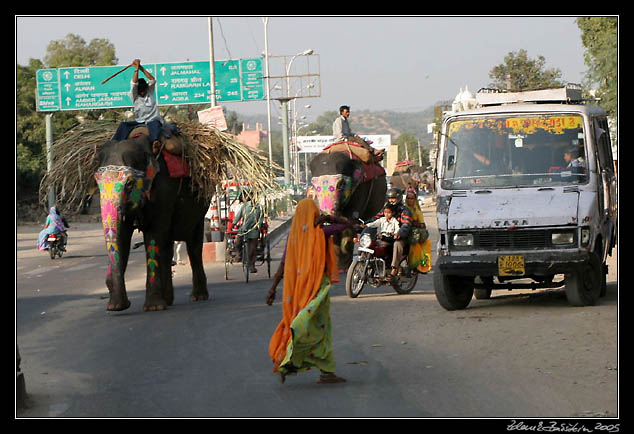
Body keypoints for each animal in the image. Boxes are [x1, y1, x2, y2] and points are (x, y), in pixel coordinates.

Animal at [96, 134, 209, 310]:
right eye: (97, 183)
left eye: (129, 183)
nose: (108, 284)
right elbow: (124, 237)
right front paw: (115, 306)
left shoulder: (164, 190)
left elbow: (153, 236)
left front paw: (153, 307)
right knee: (168, 247)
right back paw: (168, 300)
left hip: (200, 206)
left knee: (194, 245)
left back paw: (198, 297)